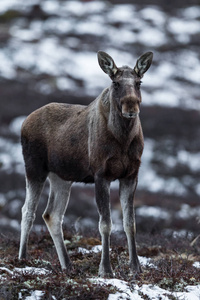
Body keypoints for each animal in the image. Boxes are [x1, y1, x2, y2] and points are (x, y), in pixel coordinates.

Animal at [18, 50, 153, 278]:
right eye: (115, 83)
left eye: (139, 82)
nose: (131, 107)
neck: (123, 138)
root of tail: (24, 122)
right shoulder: (101, 175)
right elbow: (105, 224)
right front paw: (105, 269)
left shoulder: (130, 175)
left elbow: (130, 223)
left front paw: (136, 267)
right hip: (34, 168)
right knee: (28, 211)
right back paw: (22, 259)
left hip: (61, 178)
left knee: (52, 215)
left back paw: (67, 265)